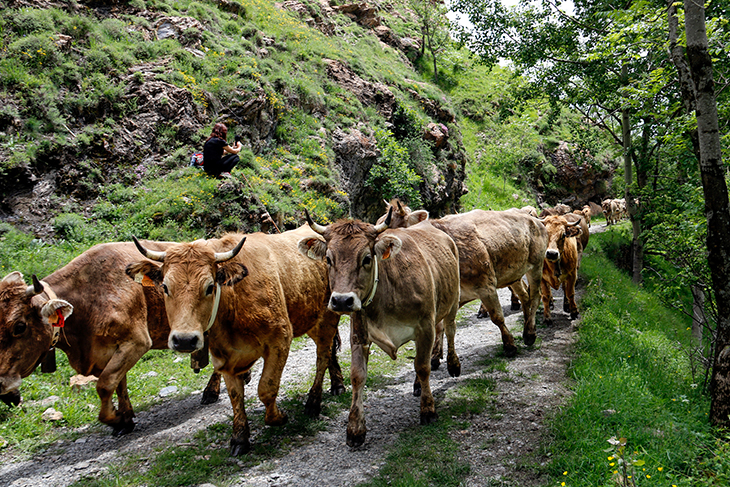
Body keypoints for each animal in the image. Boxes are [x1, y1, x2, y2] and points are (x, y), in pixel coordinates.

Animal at [0, 242, 222, 436]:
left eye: (19, 326)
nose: (2, 384)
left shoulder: (137, 341)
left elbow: (105, 385)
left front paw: (115, 419)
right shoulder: (106, 352)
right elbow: (119, 384)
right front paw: (126, 418)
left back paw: (211, 392)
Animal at [126, 229, 342, 458]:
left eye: (210, 287)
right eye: (165, 287)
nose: (184, 339)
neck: (234, 300)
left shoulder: (280, 338)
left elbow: (266, 388)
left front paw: (278, 417)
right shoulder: (224, 356)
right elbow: (235, 395)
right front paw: (240, 438)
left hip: (326, 318)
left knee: (322, 356)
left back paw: (314, 402)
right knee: (330, 352)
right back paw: (336, 384)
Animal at [298, 212, 458, 448]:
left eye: (366, 258)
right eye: (328, 259)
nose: (342, 300)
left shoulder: (425, 326)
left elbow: (423, 366)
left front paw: (428, 410)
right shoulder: (358, 333)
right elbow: (357, 376)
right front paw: (355, 429)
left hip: (452, 302)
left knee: (450, 329)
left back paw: (454, 365)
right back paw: (418, 385)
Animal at [378, 200, 544, 356]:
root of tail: (532, 217)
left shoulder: (486, 285)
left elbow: (497, 317)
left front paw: (509, 345)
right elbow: (439, 326)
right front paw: (436, 355)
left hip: (536, 265)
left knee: (535, 297)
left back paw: (530, 333)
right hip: (513, 274)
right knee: (525, 296)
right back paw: (526, 327)